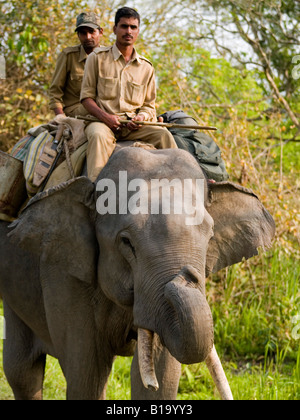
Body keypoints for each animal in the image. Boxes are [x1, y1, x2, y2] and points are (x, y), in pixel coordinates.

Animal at [0, 146, 276, 398]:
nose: (186, 276)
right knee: (22, 371)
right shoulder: (64, 272)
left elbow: (162, 377)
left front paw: (154, 382)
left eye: (210, 236)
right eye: (126, 242)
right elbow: (86, 375)